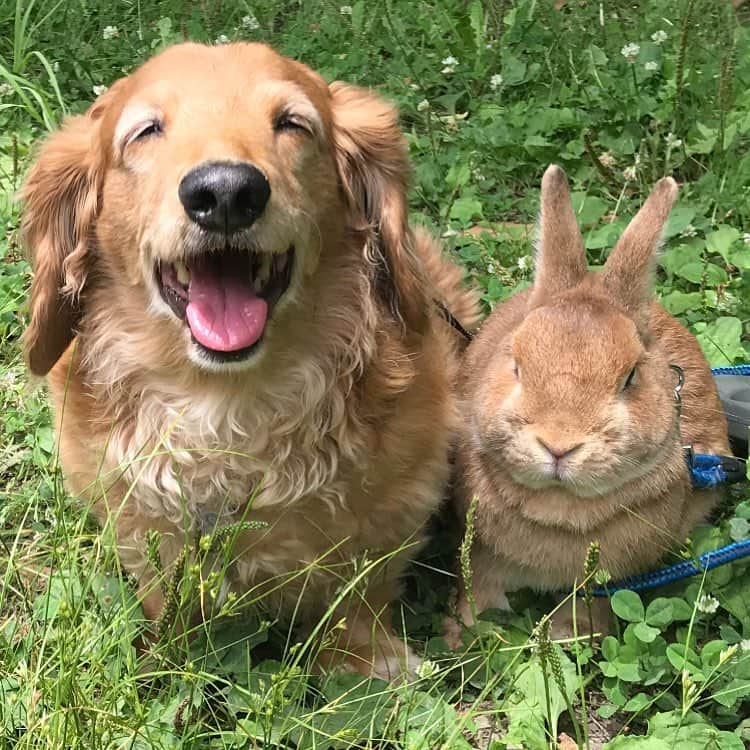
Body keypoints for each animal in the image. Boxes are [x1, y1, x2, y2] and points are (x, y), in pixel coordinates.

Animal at [23, 42, 478, 680]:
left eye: (291, 124)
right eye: (147, 130)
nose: (225, 194)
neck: (228, 404)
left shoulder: (395, 508)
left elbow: (360, 597)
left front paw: (368, 661)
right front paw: (170, 658)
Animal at [450, 167, 732, 644]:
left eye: (631, 377)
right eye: (516, 363)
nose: (558, 445)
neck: (560, 506)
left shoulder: (608, 580)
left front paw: (573, 635)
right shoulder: (483, 556)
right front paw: (466, 630)